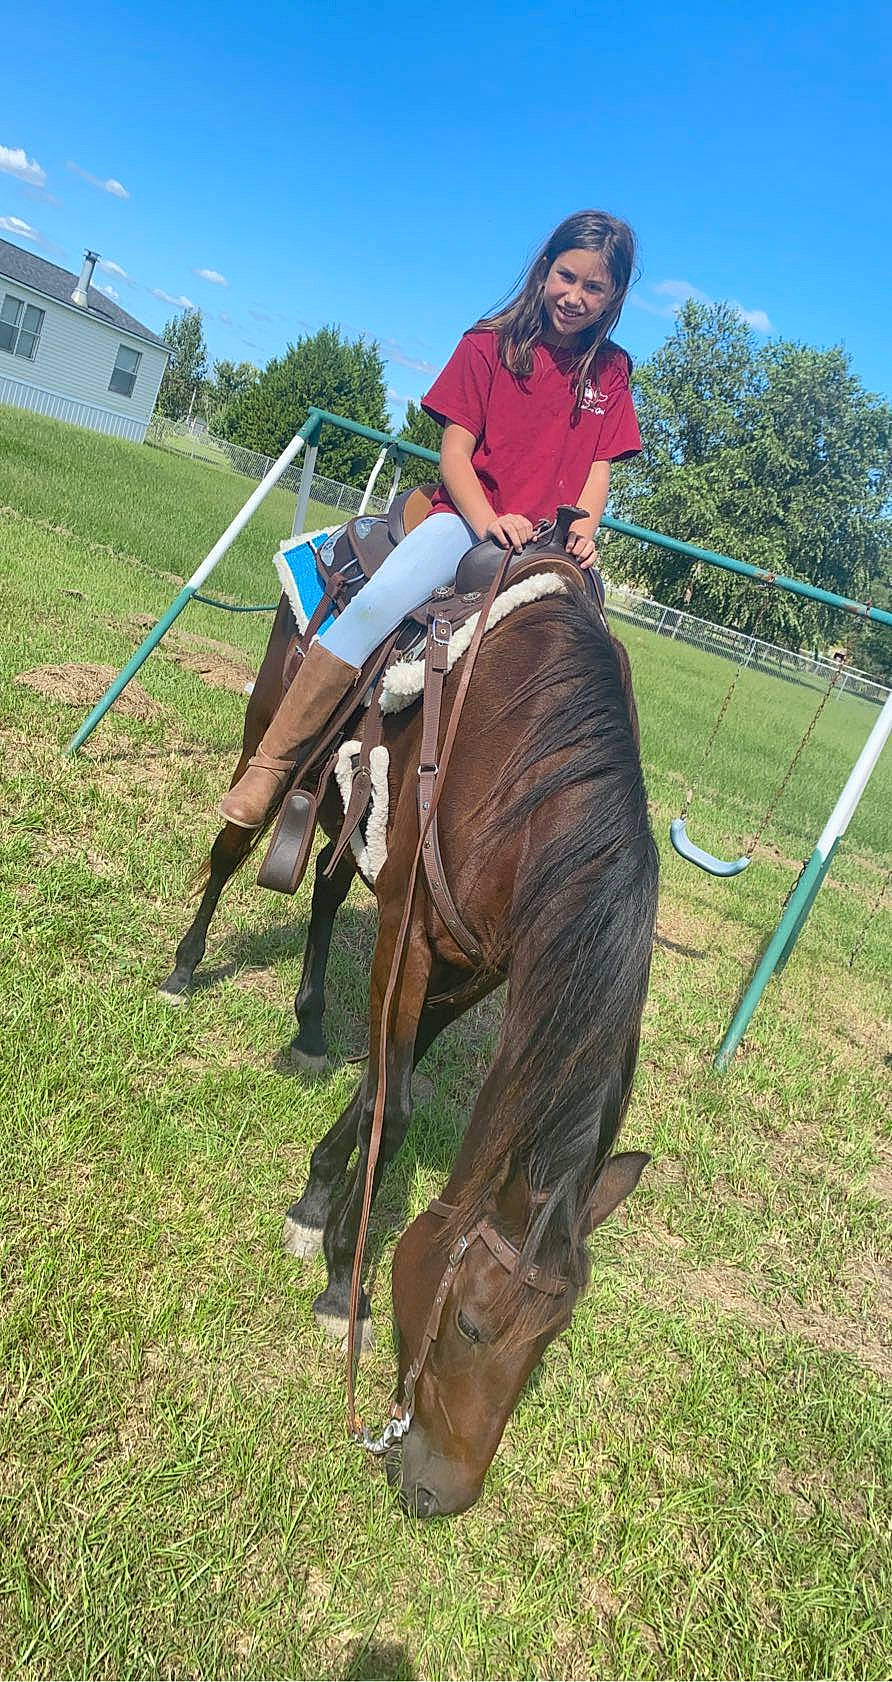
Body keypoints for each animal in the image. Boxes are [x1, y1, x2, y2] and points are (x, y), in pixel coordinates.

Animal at [161, 566, 658, 1518]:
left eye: (552, 1339)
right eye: (469, 1322)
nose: (443, 1493)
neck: (521, 782)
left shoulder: (476, 968)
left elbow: (384, 1090)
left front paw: (320, 1204)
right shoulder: (411, 930)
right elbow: (390, 1101)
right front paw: (338, 1273)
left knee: (323, 892)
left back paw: (311, 1027)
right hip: (266, 746)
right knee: (232, 845)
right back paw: (183, 966)